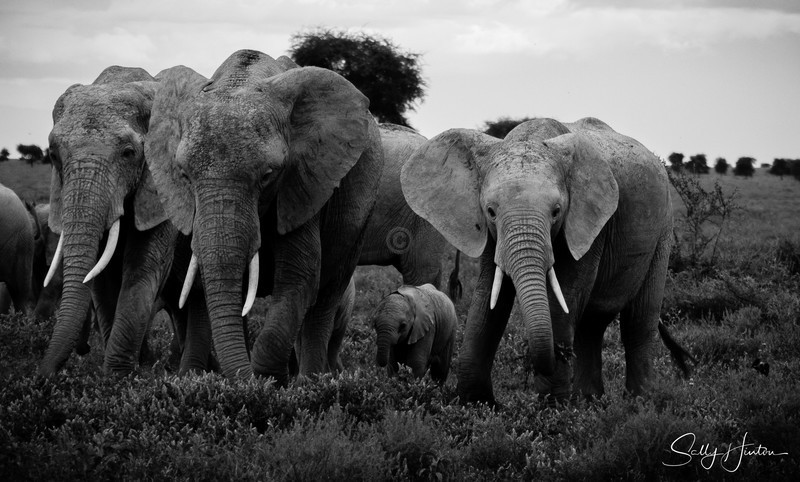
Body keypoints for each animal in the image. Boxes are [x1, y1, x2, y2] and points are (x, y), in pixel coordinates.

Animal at [39, 64, 209, 376]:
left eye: (129, 154)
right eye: (53, 155)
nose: (42, 377)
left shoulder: (161, 187)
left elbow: (142, 266)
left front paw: (119, 377)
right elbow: (100, 278)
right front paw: (120, 376)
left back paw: (190, 375)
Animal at [145, 49, 383, 382]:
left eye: (268, 175)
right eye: (184, 175)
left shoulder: (303, 182)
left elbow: (299, 278)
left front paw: (268, 382)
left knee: (327, 295)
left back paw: (309, 382)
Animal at [402, 117, 693, 404]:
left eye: (556, 212)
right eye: (491, 211)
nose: (549, 356)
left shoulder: (588, 225)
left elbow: (564, 296)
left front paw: (551, 407)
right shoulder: (488, 233)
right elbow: (489, 299)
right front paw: (477, 403)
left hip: (663, 230)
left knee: (638, 322)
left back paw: (639, 404)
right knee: (591, 326)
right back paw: (589, 401)